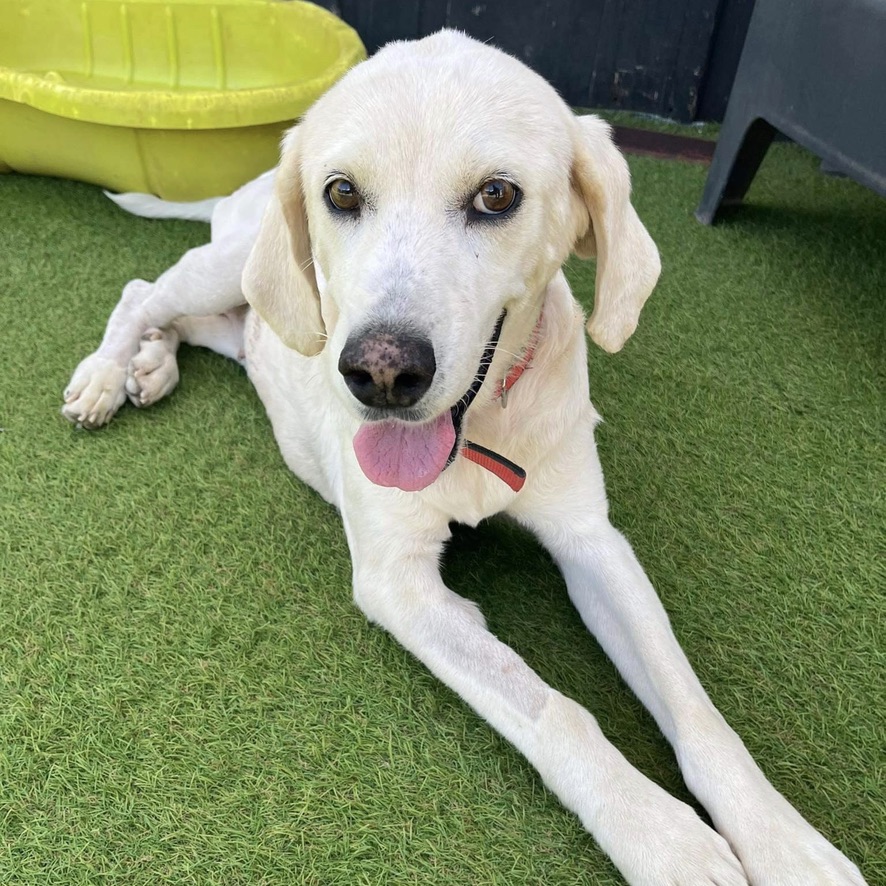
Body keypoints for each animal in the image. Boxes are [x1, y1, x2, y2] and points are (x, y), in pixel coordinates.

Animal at [60, 31, 868, 886]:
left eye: (497, 196)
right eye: (341, 192)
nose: (380, 373)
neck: (479, 433)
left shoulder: (594, 540)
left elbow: (695, 707)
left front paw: (783, 840)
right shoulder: (400, 584)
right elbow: (558, 711)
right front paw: (664, 836)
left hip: (258, 311)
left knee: (204, 325)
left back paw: (153, 366)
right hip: (244, 263)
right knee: (143, 290)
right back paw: (107, 374)